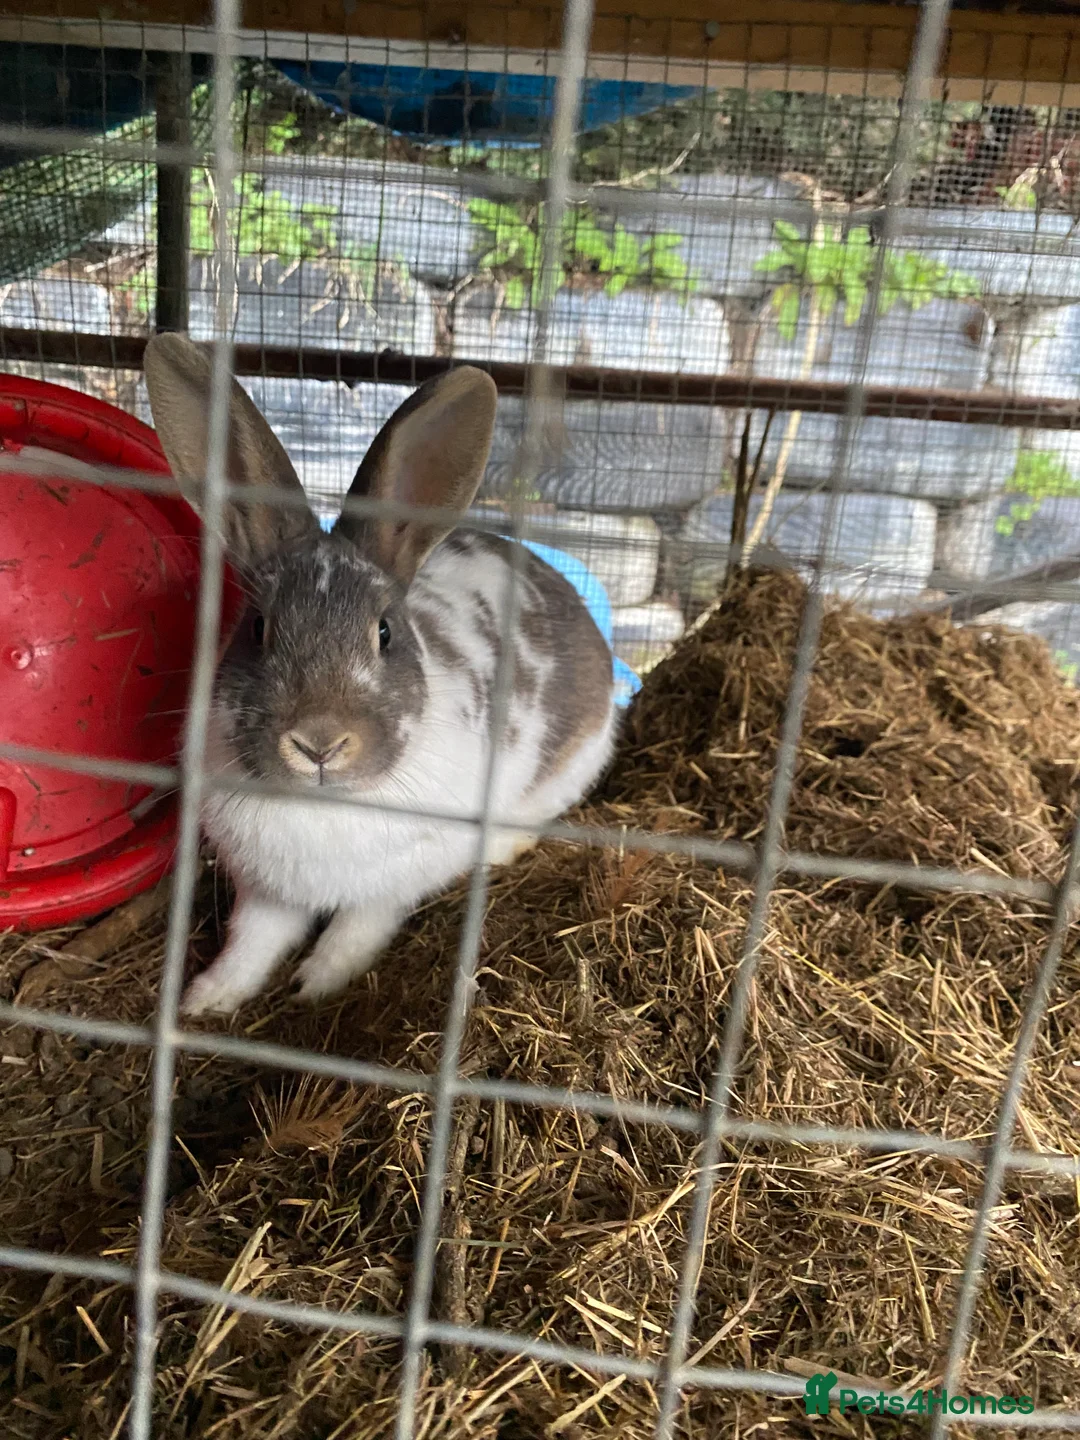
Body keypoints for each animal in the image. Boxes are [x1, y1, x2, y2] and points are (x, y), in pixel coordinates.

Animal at [142, 334, 618, 1015]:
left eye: (385, 632)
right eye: (257, 628)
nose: (319, 741)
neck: (325, 805)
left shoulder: (394, 884)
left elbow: (358, 928)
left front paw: (318, 984)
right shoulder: (266, 888)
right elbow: (253, 939)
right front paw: (207, 998)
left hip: (574, 762)